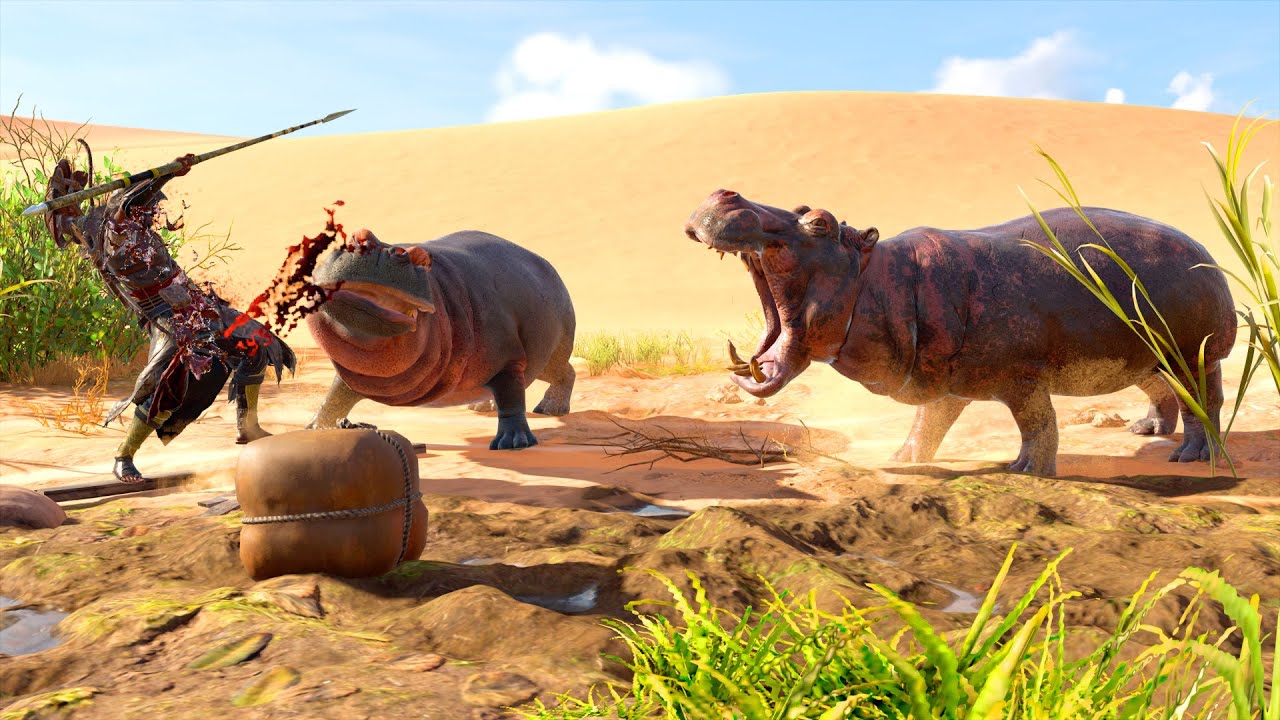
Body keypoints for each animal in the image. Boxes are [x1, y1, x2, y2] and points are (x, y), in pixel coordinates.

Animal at [305, 228, 576, 450]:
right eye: (357, 236)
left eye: (421, 259)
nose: (378, 249)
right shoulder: (357, 376)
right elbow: (335, 397)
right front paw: (314, 428)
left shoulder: (508, 362)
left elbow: (512, 402)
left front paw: (512, 443)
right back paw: (481, 407)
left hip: (547, 358)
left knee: (565, 372)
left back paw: (550, 410)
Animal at [685, 190, 1236, 476]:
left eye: (819, 222)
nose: (726, 194)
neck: (883, 278)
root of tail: (1203, 248)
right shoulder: (943, 378)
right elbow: (928, 423)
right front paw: (901, 460)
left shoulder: (1022, 376)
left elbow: (1038, 424)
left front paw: (1026, 472)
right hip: (1141, 353)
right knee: (1161, 388)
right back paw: (1147, 431)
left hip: (1195, 351)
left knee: (1203, 398)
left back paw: (1193, 456)